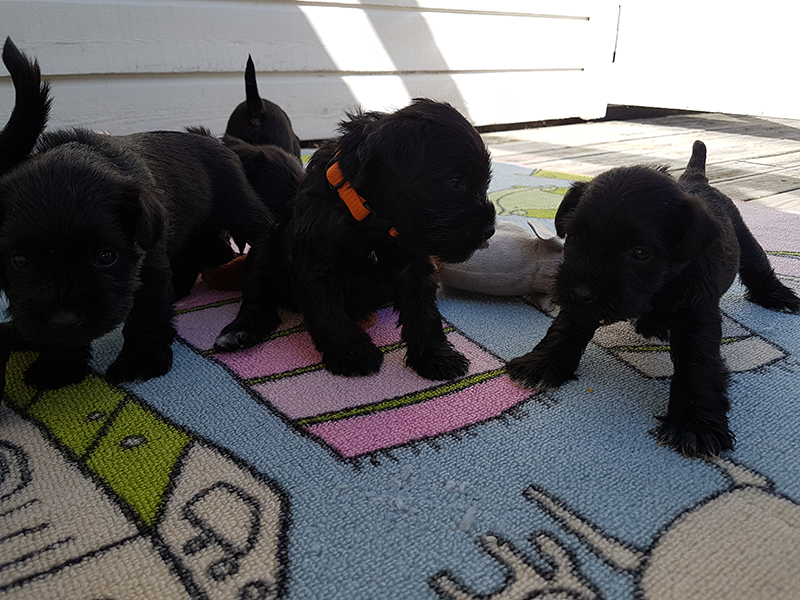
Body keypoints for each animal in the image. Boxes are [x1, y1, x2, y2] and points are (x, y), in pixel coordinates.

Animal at [0, 38, 279, 389]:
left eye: (106, 257)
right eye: (19, 260)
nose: (64, 320)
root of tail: (210, 138)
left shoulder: (148, 266)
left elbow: (145, 312)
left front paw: (139, 360)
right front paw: (57, 364)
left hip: (243, 211)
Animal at [216, 98, 496, 381]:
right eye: (455, 181)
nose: (490, 229)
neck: (370, 219)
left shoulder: (414, 265)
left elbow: (424, 312)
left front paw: (435, 356)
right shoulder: (318, 268)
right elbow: (329, 313)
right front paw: (353, 354)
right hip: (262, 253)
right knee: (257, 297)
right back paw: (238, 332)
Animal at [507, 140, 800, 457]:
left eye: (640, 252)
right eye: (573, 236)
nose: (579, 292)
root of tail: (697, 177)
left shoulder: (695, 314)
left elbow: (697, 361)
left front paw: (694, 423)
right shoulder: (582, 300)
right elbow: (566, 327)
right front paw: (542, 363)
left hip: (744, 238)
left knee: (757, 265)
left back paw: (780, 296)